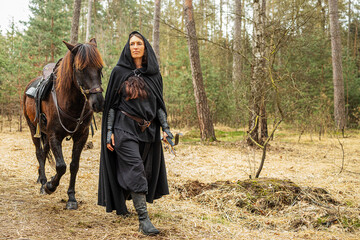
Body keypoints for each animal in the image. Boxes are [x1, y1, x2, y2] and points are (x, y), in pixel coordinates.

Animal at [23, 38, 105, 209]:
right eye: (80, 69)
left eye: (100, 68)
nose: (98, 103)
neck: (70, 102)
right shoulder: (55, 135)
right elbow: (61, 166)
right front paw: (50, 186)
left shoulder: (81, 136)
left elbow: (74, 165)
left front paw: (71, 198)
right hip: (33, 129)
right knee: (39, 153)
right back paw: (43, 183)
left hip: (46, 135)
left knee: (44, 152)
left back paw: (42, 178)